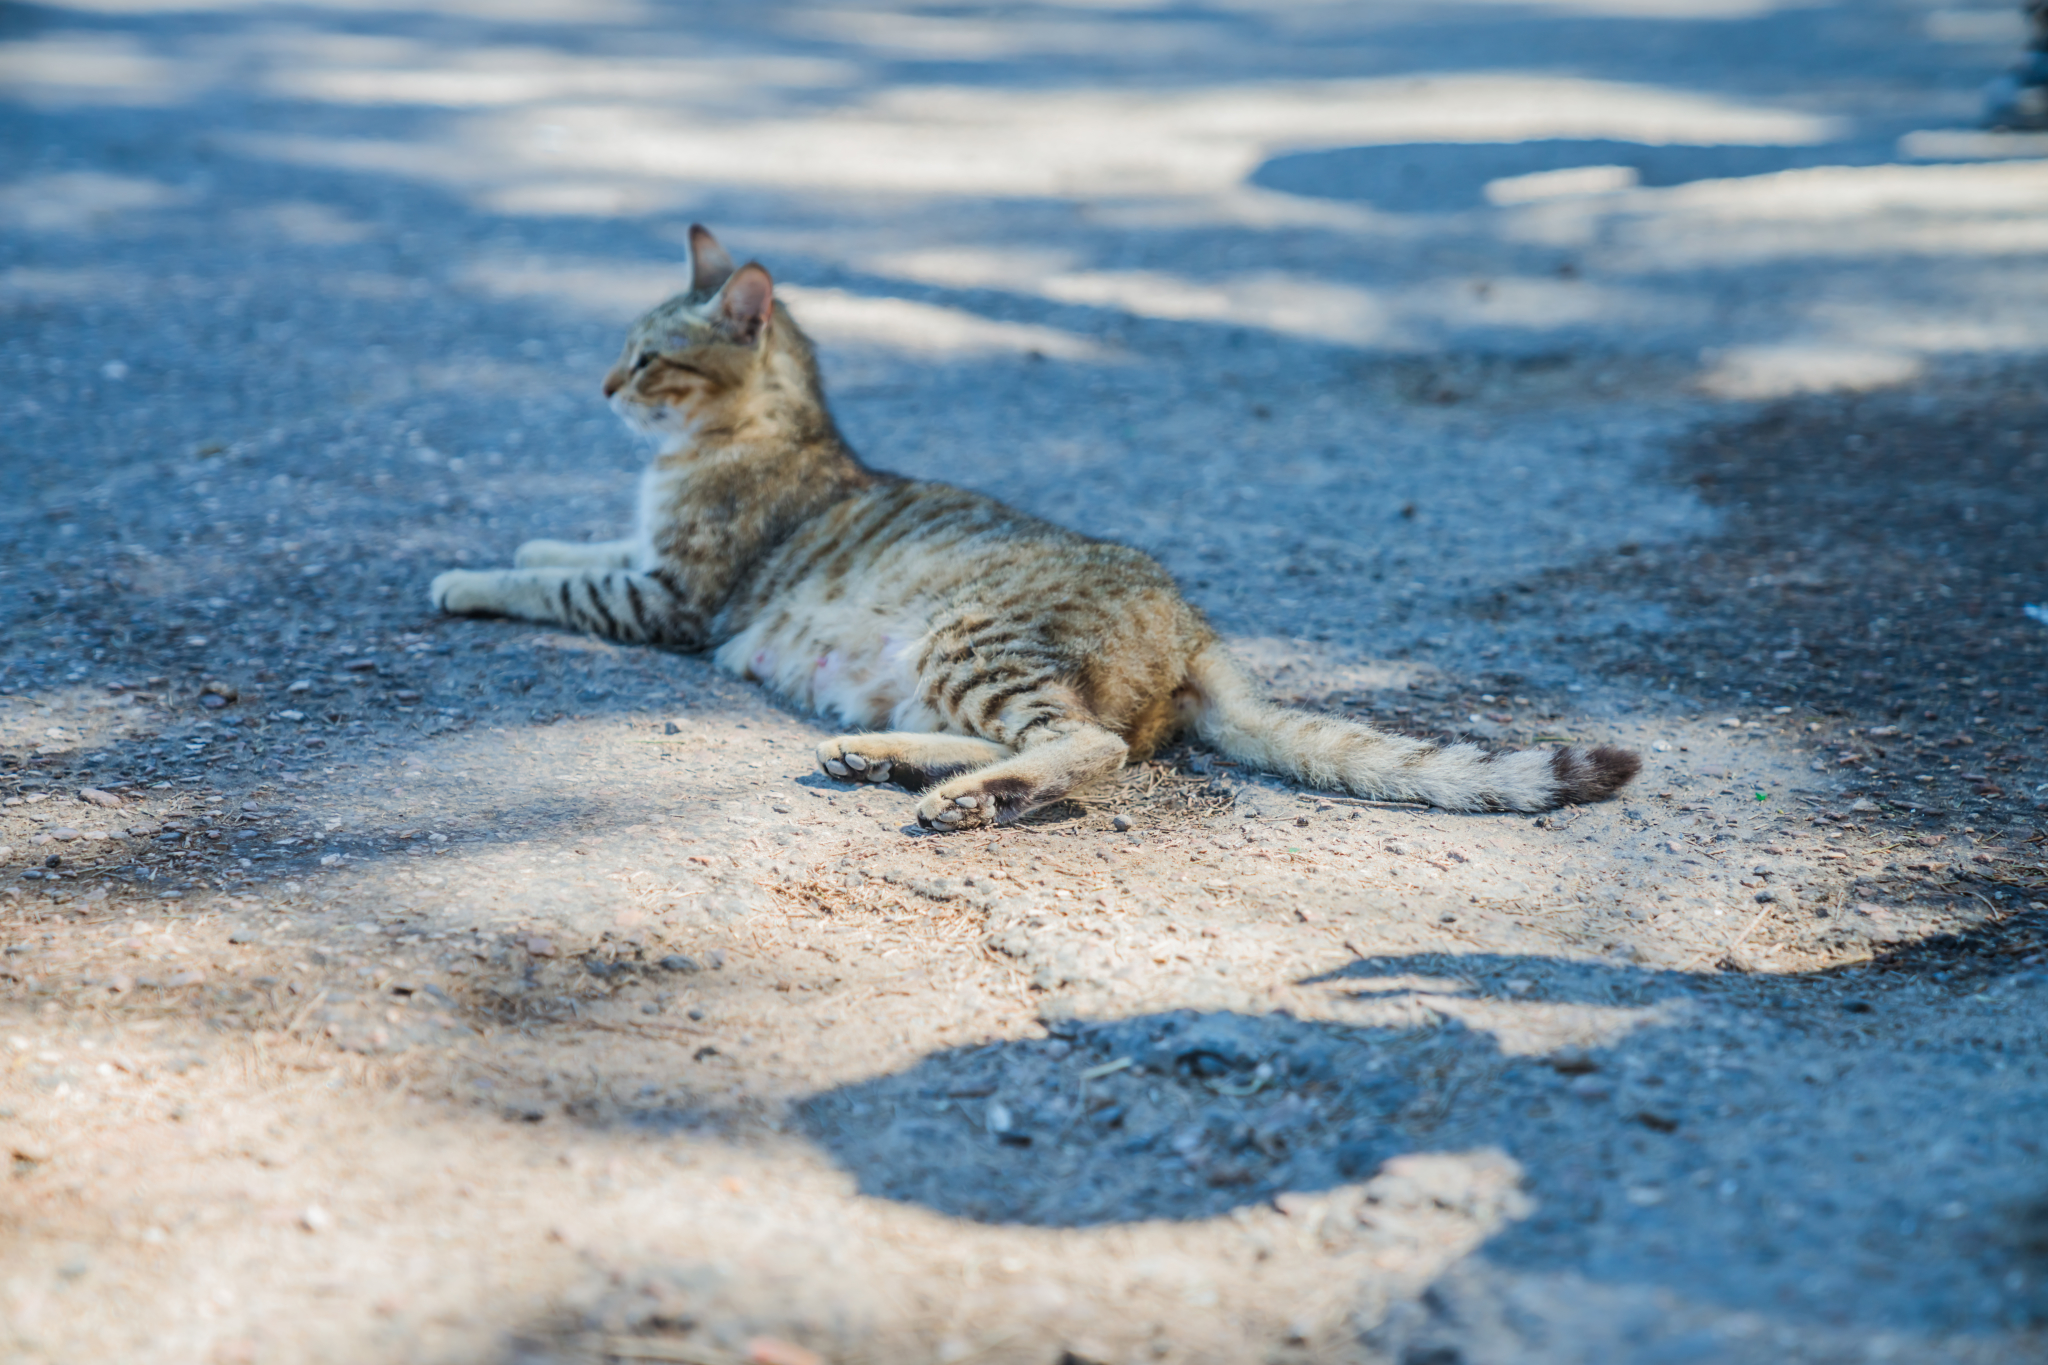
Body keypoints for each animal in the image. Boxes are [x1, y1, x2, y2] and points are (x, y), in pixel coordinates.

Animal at [423, 228, 1638, 826]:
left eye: (647, 360)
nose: (599, 386)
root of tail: (1196, 626)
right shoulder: (645, 558)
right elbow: (575, 546)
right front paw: (525, 541)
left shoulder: (673, 594)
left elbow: (557, 582)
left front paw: (465, 574)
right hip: (939, 669)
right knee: (1056, 737)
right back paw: (888, 761)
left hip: (969, 638)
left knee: (1088, 746)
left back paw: (960, 799)